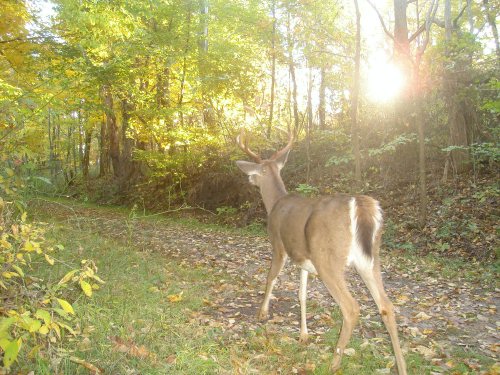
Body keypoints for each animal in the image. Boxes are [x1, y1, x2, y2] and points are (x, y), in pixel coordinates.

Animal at [234, 131, 406, 374]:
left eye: (258, 171)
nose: (249, 180)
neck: (275, 203)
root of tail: (361, 205)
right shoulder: (304, 260)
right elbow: (302, 294)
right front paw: (303, 335)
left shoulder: (278, 245)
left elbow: (271, 278)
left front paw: (262, 313)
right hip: (371, 259)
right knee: (387, 306)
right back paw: (402, 366)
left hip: (328, 260)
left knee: (351, 307)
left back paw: (334, 363)